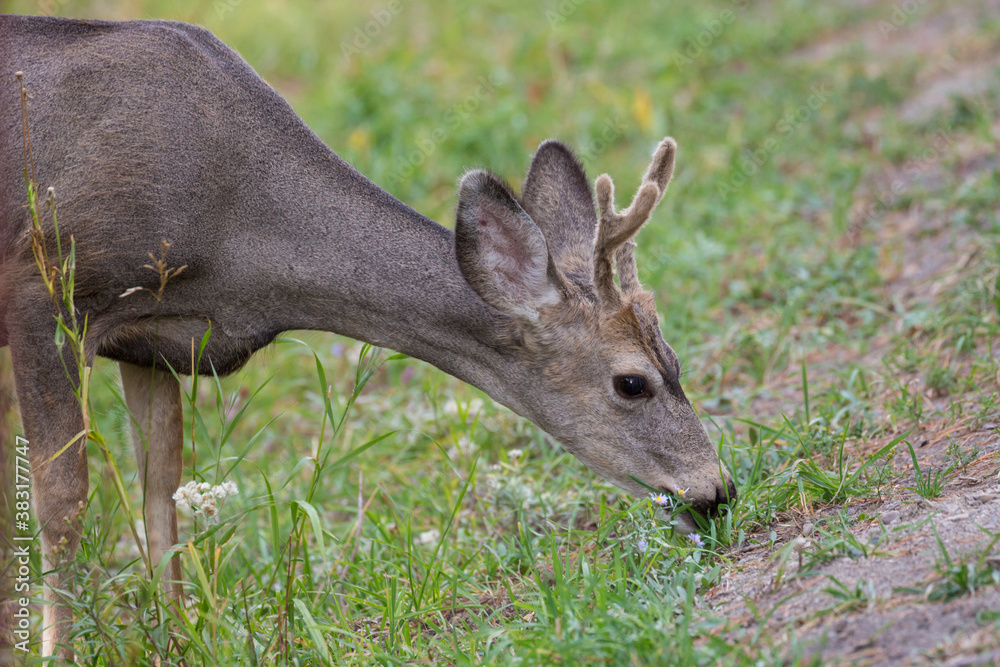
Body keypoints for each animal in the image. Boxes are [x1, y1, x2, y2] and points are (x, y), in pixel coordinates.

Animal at [0, 14, 736, 658]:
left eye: (675, 359)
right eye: (632, 382)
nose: (718, 490)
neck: (242, 240)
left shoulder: (155, 340)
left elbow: (163, 498)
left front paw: (177, 641)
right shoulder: (45, 291)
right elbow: (61, 504)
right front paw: (60, 652)